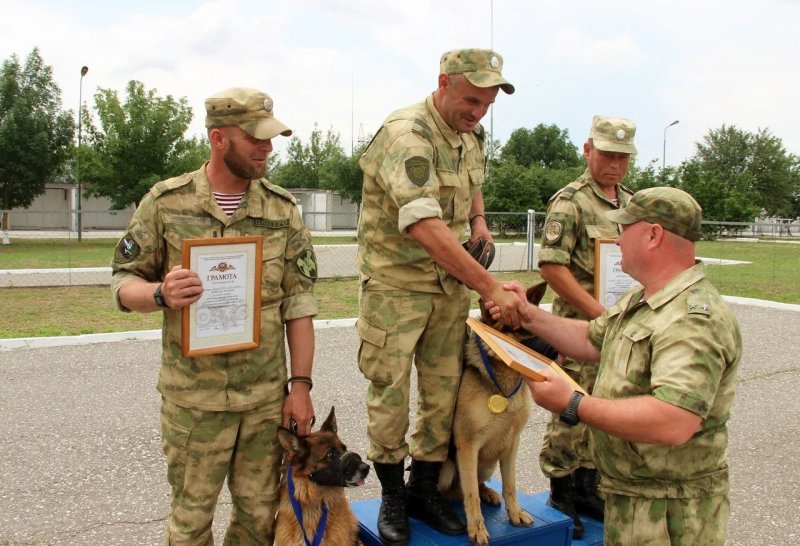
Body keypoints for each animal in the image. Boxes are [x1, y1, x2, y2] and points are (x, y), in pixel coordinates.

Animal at [438, 280, 556, 544]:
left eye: (534, 323)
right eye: (518, 329)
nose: (555, 353)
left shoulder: (512, 443)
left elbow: (510, 484)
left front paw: (515, 513)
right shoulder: (468, 446)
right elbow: (470, 493)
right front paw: (477, 528)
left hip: (488, 463)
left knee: (478, 484)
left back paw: (488, 493)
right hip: (449, 468)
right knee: (456, 490)